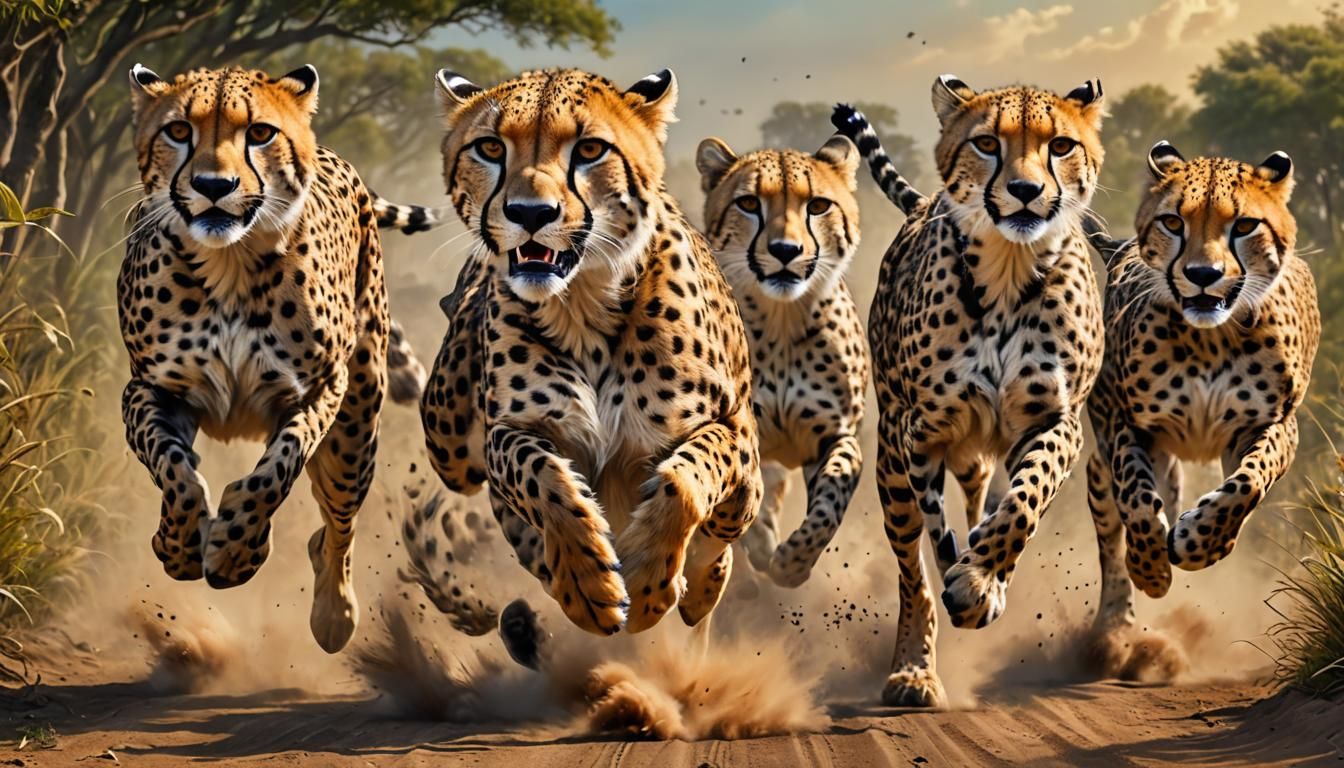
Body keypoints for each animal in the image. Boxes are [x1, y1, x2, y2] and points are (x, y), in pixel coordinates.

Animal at [121, 63, 431, 653]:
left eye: (260, 133)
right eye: (179, 131)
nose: (213, 186)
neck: (230, 264)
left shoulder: (321, 391)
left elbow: (278, 468)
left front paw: (237, 550)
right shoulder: (151, 390)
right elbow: (174, 470)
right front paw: (179, 544)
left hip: (358, 424)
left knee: (338, 524)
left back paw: (335, 616)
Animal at [413, 67, 763, 641]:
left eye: (591, 150)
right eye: (490, 147)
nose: (530, 213)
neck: (583, 303)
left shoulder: (735, 431)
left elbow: (687, 477)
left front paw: (646, 582)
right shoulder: (507, 431)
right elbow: (544, 476)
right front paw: (587, 583)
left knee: (721, 539)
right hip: (447, 444)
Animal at [694, 136, 870, 588]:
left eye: (818, 205)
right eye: (749, 203)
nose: (786, 250)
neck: (782, 321)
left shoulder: (835, 434)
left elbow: (831, 502)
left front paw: (792, 563)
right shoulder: (740, 433)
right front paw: (761, 548)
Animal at [830, 74, 1107, 707]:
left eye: (1060, 145)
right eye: (986, 144)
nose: (1026, 191)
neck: (1009, 267)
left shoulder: (1056, 423)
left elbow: (1024, 502)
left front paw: (982, 581)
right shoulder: (921, 436)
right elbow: (934, 541)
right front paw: (962, 578)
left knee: (990, 490)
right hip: (890, 462)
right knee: (912, 571)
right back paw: (914, 670)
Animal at [1081, 142, 1319, 662]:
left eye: (1244, 226)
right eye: (1174, 222)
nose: (1203, 275)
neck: (1212, 337)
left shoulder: (1271, 425)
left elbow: (1245, 486)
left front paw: (1198, 542)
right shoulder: (1125, 423)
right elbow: (1137, 501)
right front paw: (1151, 568)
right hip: (1104, 463)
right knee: (1110, 542)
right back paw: (1114, 630)